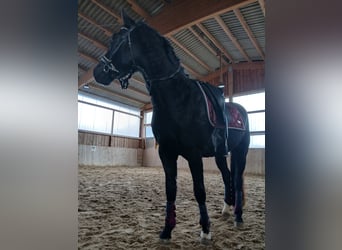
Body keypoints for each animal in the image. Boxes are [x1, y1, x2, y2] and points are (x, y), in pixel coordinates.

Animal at [92, 10, 250, 241]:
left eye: (116, 39)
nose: (98, 72)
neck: (177, 98)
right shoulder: (166, 153)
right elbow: (170, 190)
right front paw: (167, 230)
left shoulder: (193, 155)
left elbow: (199, 191)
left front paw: (205, 230)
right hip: (221, 154)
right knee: (227, 176)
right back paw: (226, 209)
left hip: (241, 151)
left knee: (237, 180)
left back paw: (238, 216)